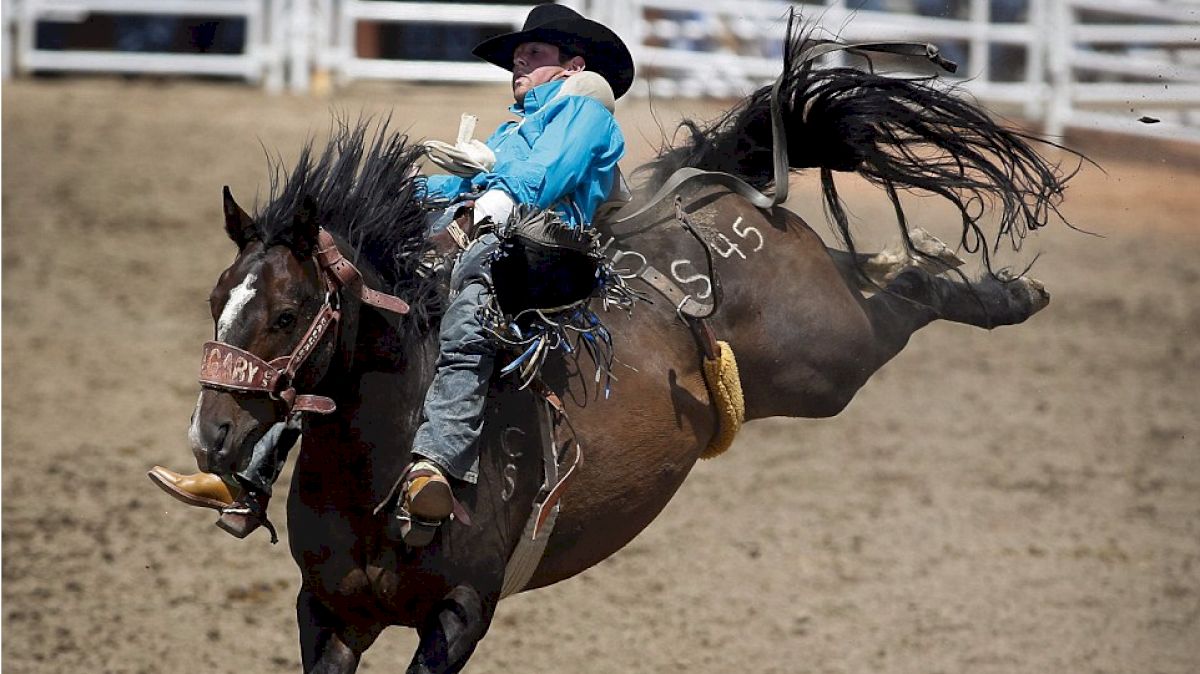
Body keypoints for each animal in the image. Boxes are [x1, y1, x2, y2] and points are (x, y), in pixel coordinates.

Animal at [177, 19, 1080, 671]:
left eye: (289, 313)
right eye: (219, 300)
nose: (212, 434)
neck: (386, 452)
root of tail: (721, 185)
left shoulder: (459, 615)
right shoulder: (328, 615)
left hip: (827, 355)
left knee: (895, 307)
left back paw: (1001, 292)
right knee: (867, 271)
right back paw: (924, 256)